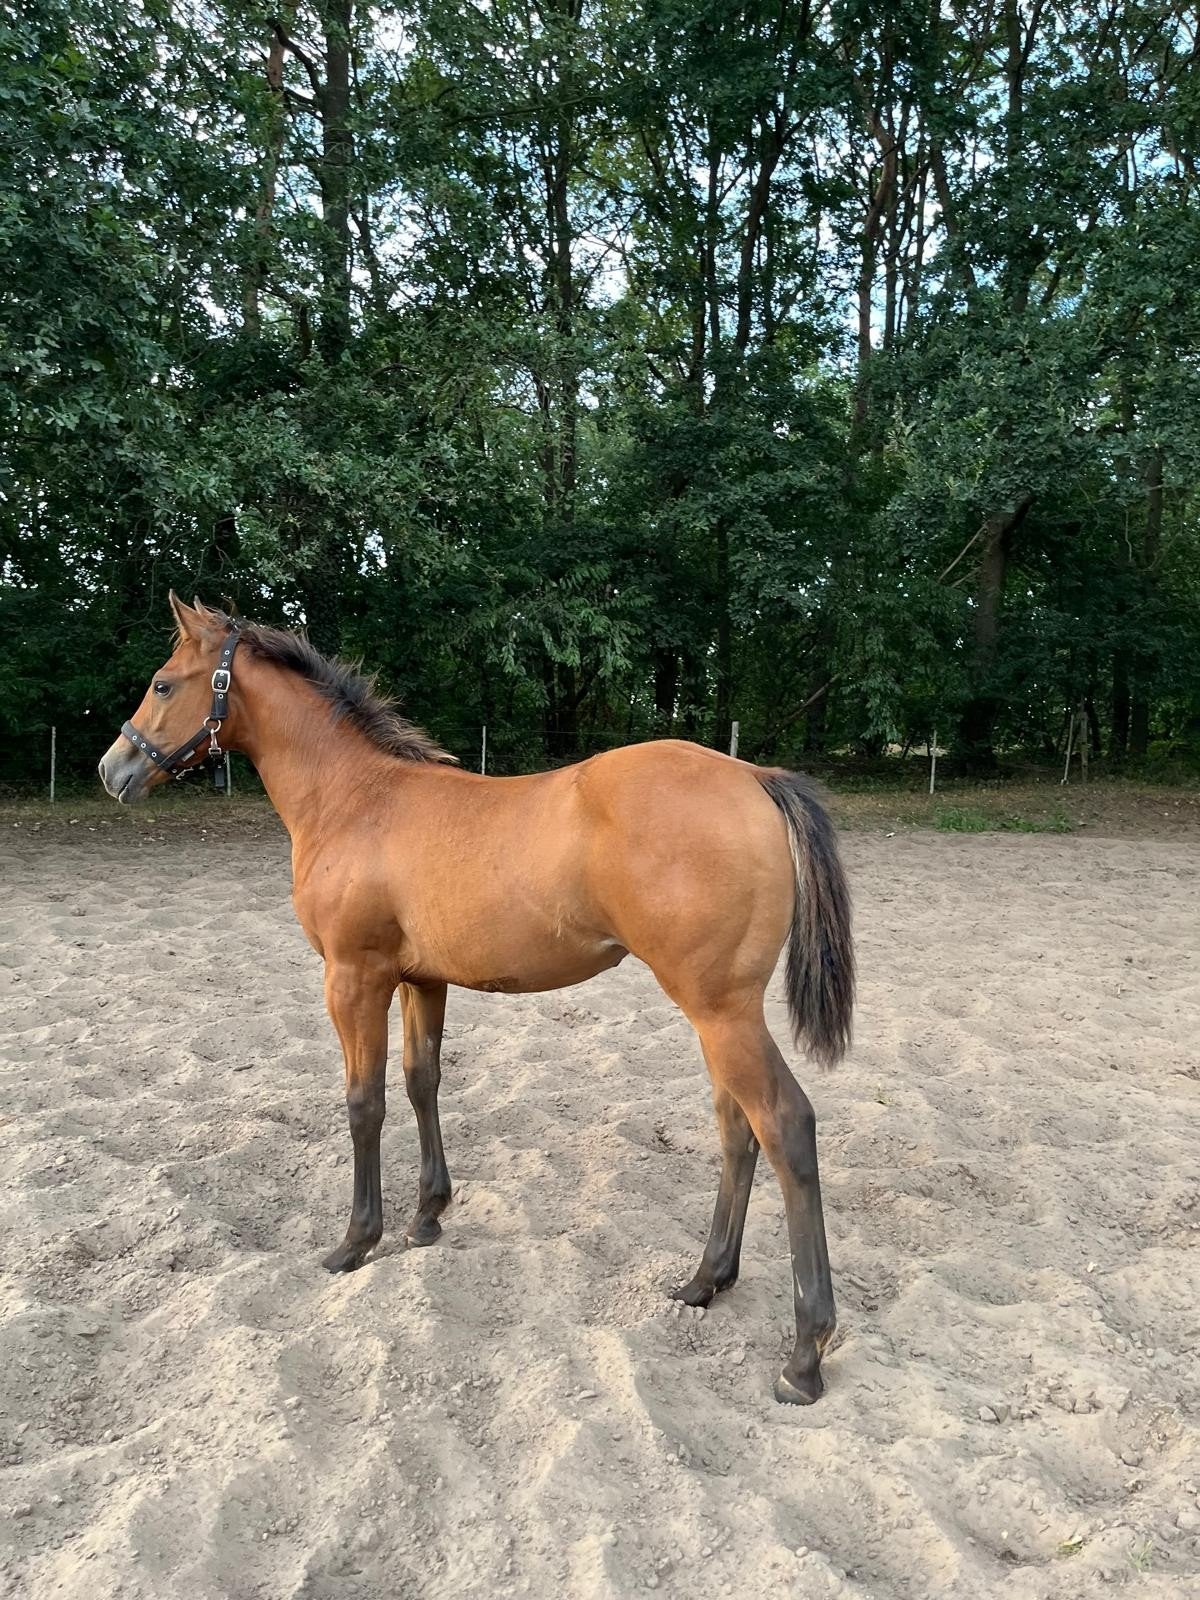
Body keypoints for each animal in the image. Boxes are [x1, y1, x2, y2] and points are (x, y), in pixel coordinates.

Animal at [99, 594, 854, 1403]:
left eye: (163, 683)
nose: (113, 769)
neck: (356, 800)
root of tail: (754, 776)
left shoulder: (352, 978)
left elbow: (364, 1103)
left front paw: (356, 1241)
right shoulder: (420, 980)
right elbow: (421, 1080)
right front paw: (427, 1216)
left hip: (721, 1011)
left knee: (783, 1126)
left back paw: (803, 1355)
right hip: (717, 1015)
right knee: (737, 1128)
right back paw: (705, 1282)